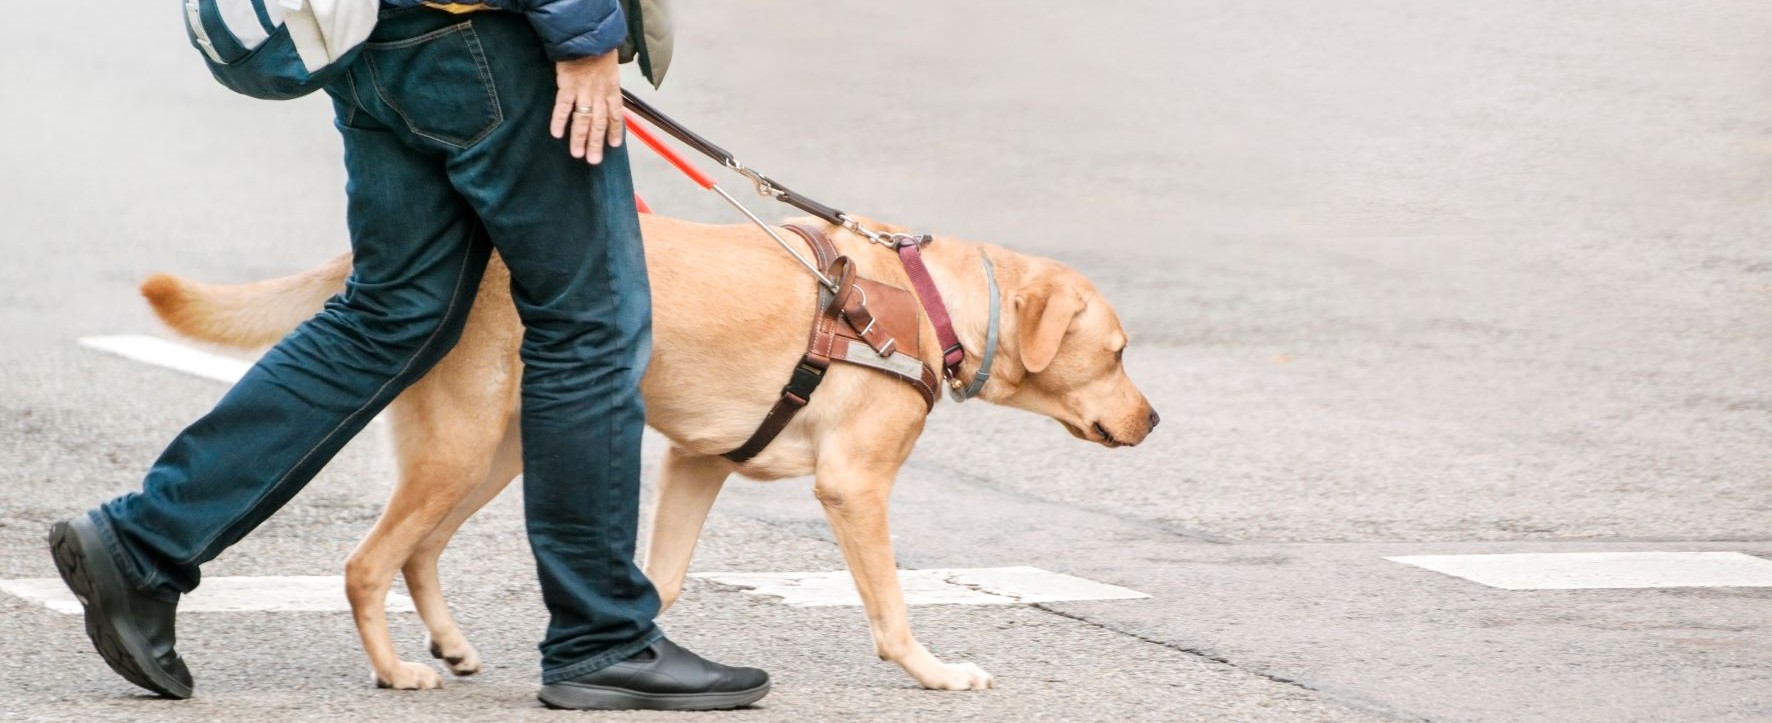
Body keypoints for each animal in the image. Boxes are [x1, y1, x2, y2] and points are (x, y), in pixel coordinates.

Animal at [145, 214, 1155, 687]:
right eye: (1116, 353)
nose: (1153, 422)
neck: (926, 301)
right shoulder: (853, 487)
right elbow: (894, 612)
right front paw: (938, 671)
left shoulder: (698, 462)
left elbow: (658, 579)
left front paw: (631, 653)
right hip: (462, 448)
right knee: (366, 561)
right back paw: (395, 669)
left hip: (496, 450)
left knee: (419, 550)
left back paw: (450, 642)